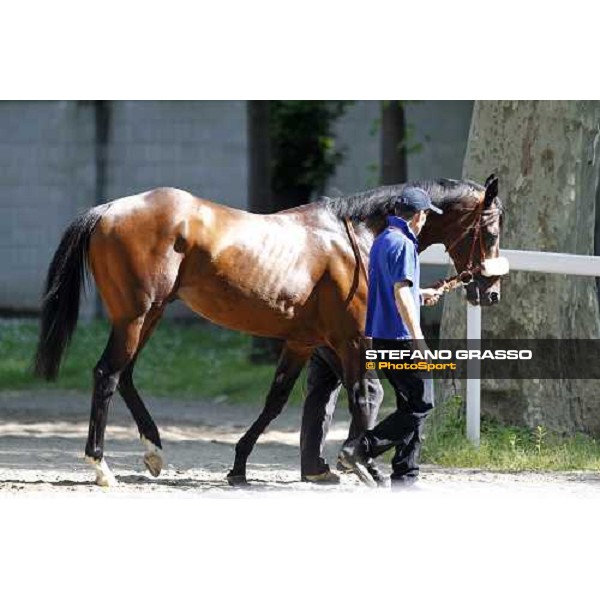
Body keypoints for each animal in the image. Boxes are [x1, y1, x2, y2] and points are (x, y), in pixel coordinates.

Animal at [32, 176, 502, 486]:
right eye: (492, 229)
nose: (490, 290)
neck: (356, 239)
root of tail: (107, 210)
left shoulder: (305, 341)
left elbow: (276, 401)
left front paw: (241, 466)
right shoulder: (351, 339)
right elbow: (367, 395)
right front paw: (361, 462)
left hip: (150, 315)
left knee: (125, 375)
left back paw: (153, 452)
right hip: (135, 315)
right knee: (107, 375)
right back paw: (101, 466)